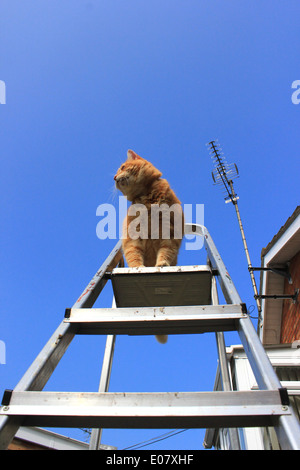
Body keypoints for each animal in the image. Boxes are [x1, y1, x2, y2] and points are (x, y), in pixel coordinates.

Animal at [115, 151, 184, 346]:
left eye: (122, 167)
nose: (114, 177)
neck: (147, 199)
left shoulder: (169, 235)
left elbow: (165, 253)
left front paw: (162, 264)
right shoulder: (132, 240)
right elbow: (134, 256)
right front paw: (137, 268)